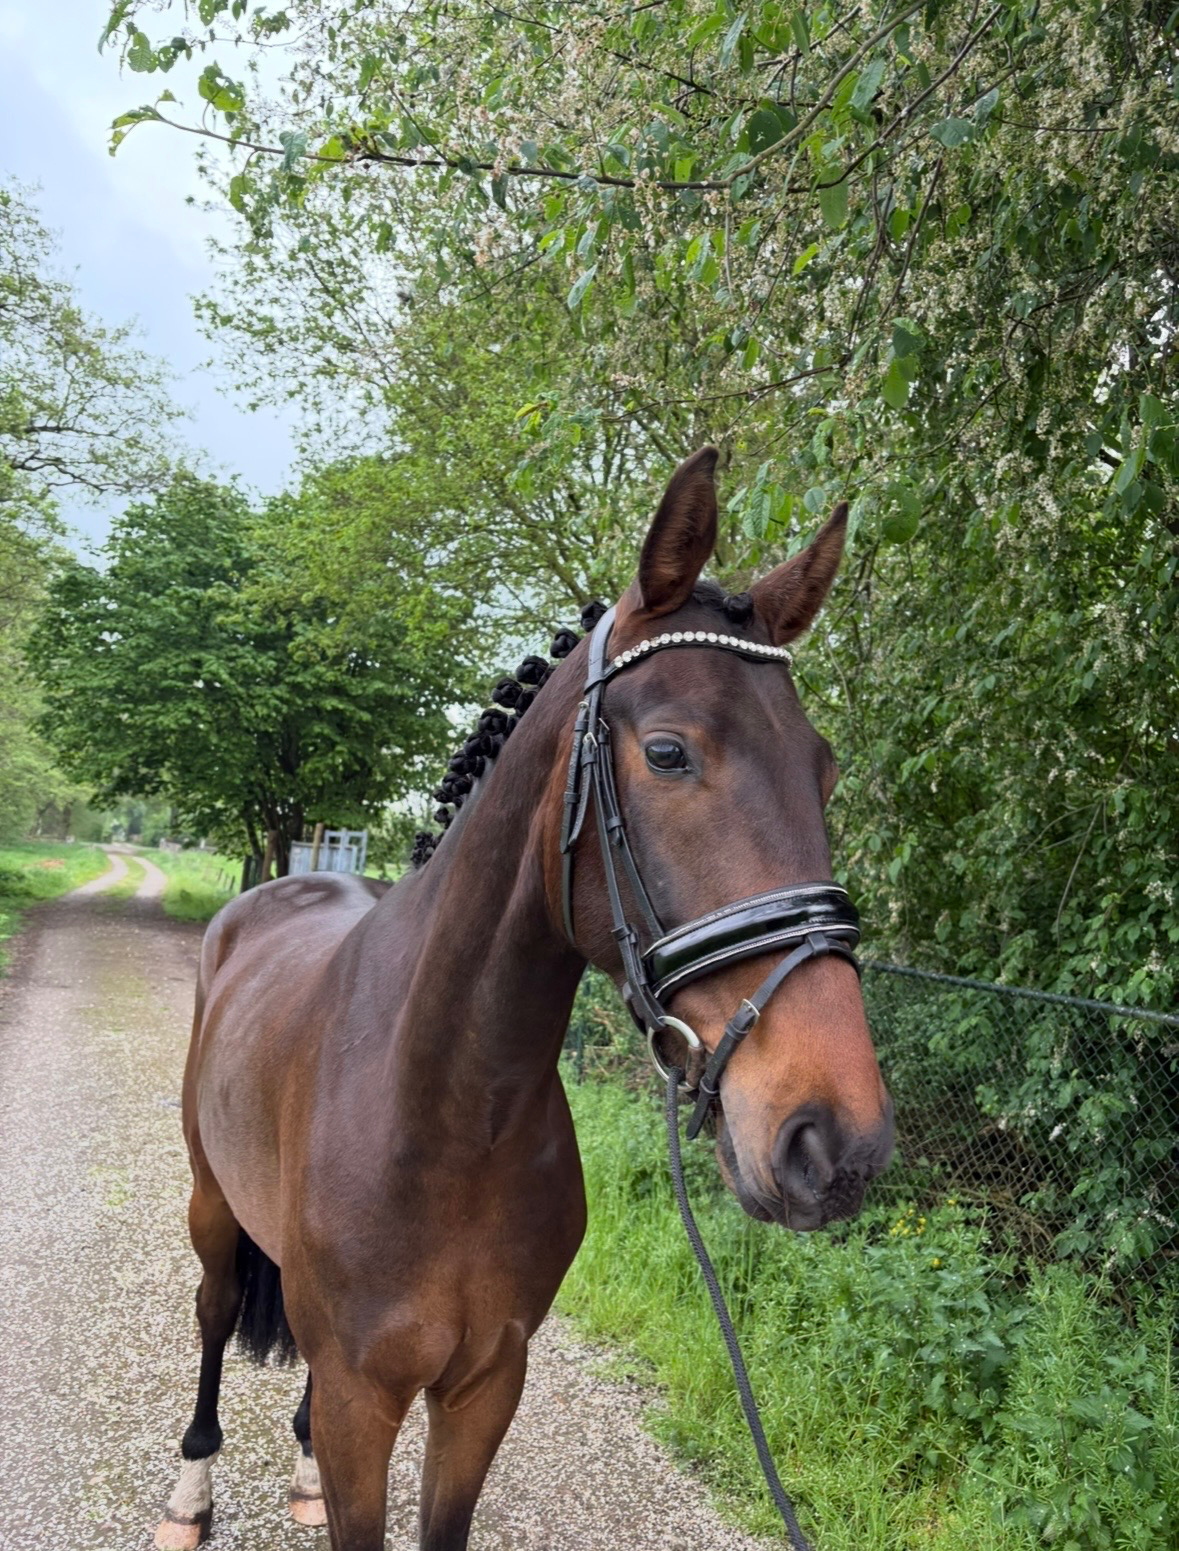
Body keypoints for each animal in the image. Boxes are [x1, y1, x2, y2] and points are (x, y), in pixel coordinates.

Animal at [155, 447, 894, 1551]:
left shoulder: (482, 1386)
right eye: (667, 751)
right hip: (211, 1205)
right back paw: (190, 1493)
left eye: (825, 769)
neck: (453, 1110)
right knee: (209, 1316)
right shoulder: (366, 1397)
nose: (836, 1140)